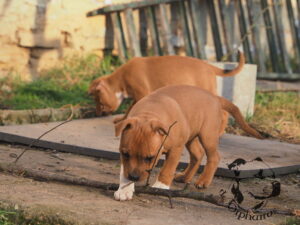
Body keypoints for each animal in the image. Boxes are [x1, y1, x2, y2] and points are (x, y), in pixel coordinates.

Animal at [113, 85, 262, 200]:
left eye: (150, 158)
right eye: (125, 154)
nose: (134, 177)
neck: (149, 114)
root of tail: (215, 97)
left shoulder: (176, 149)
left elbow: (167, 169)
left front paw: (161, 185)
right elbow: (124, 170)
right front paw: (125, 189)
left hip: (208, 136)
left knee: (214, 157)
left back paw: (203, 181)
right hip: (191, 137)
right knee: (197, 154)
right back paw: (185, 177)